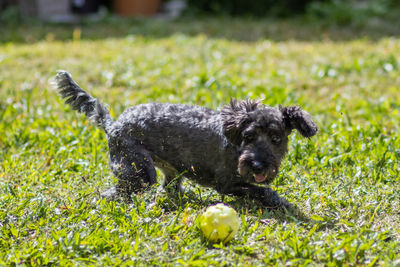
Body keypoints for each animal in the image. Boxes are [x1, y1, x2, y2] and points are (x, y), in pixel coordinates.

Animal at [53, 71, 318, 209]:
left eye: (276, 138)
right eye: (249, 136)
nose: (258, 165)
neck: (235, 146)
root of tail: (112, 125)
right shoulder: (226, 184)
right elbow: (262, 191)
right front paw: (282, 202)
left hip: (169, 171)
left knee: (167, 188)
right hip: (139, 170)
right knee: (118, 191)